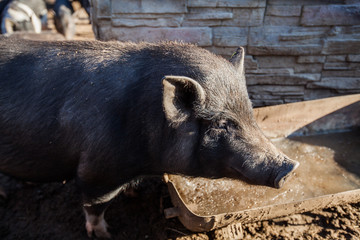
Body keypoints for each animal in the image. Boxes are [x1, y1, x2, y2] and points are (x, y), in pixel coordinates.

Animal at [0, 38, 298, 238]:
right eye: (222, 124)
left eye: (250, 113)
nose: (290, 167)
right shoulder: (95, 171)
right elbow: (95, 206)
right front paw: (106, 235)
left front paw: (134, 194)